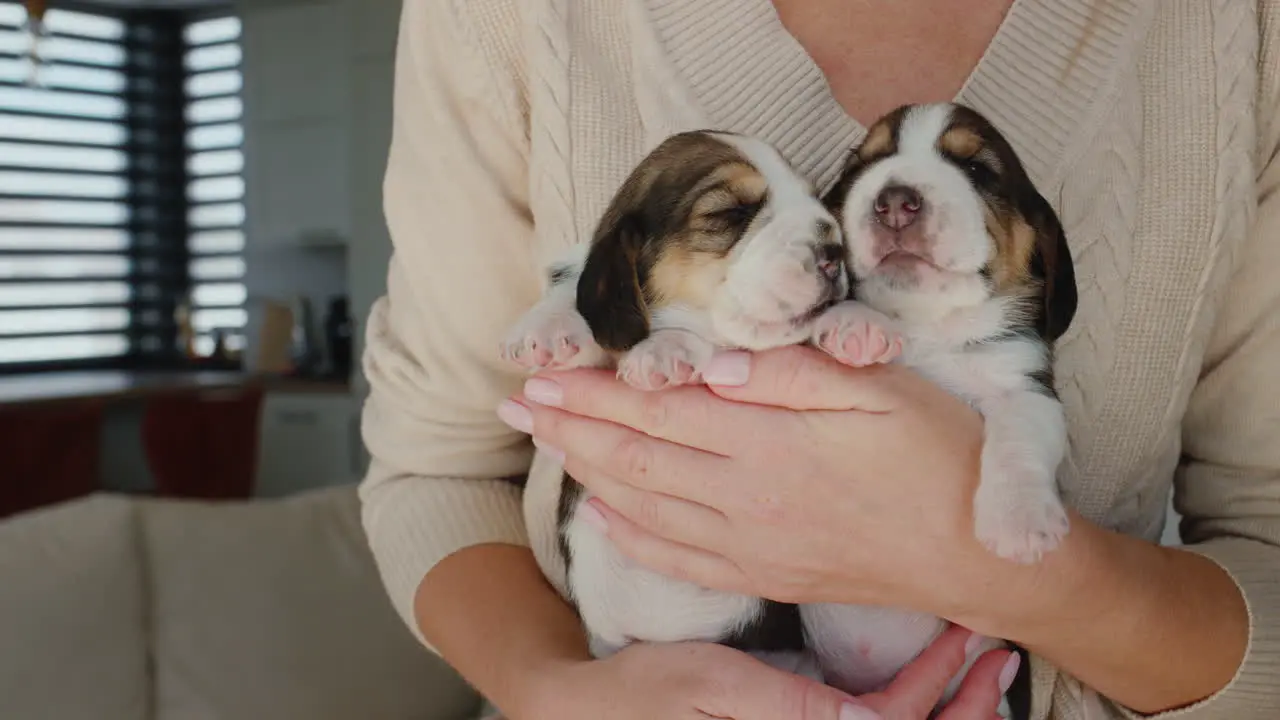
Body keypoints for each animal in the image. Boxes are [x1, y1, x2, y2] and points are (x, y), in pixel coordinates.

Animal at [803, 102, 1075, 712]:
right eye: (863, 166)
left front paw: (1018, 518)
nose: (894, 201)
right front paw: (854, 324)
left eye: (976, 168)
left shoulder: (1029, 387)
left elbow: (1018, 435)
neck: (930, 326)